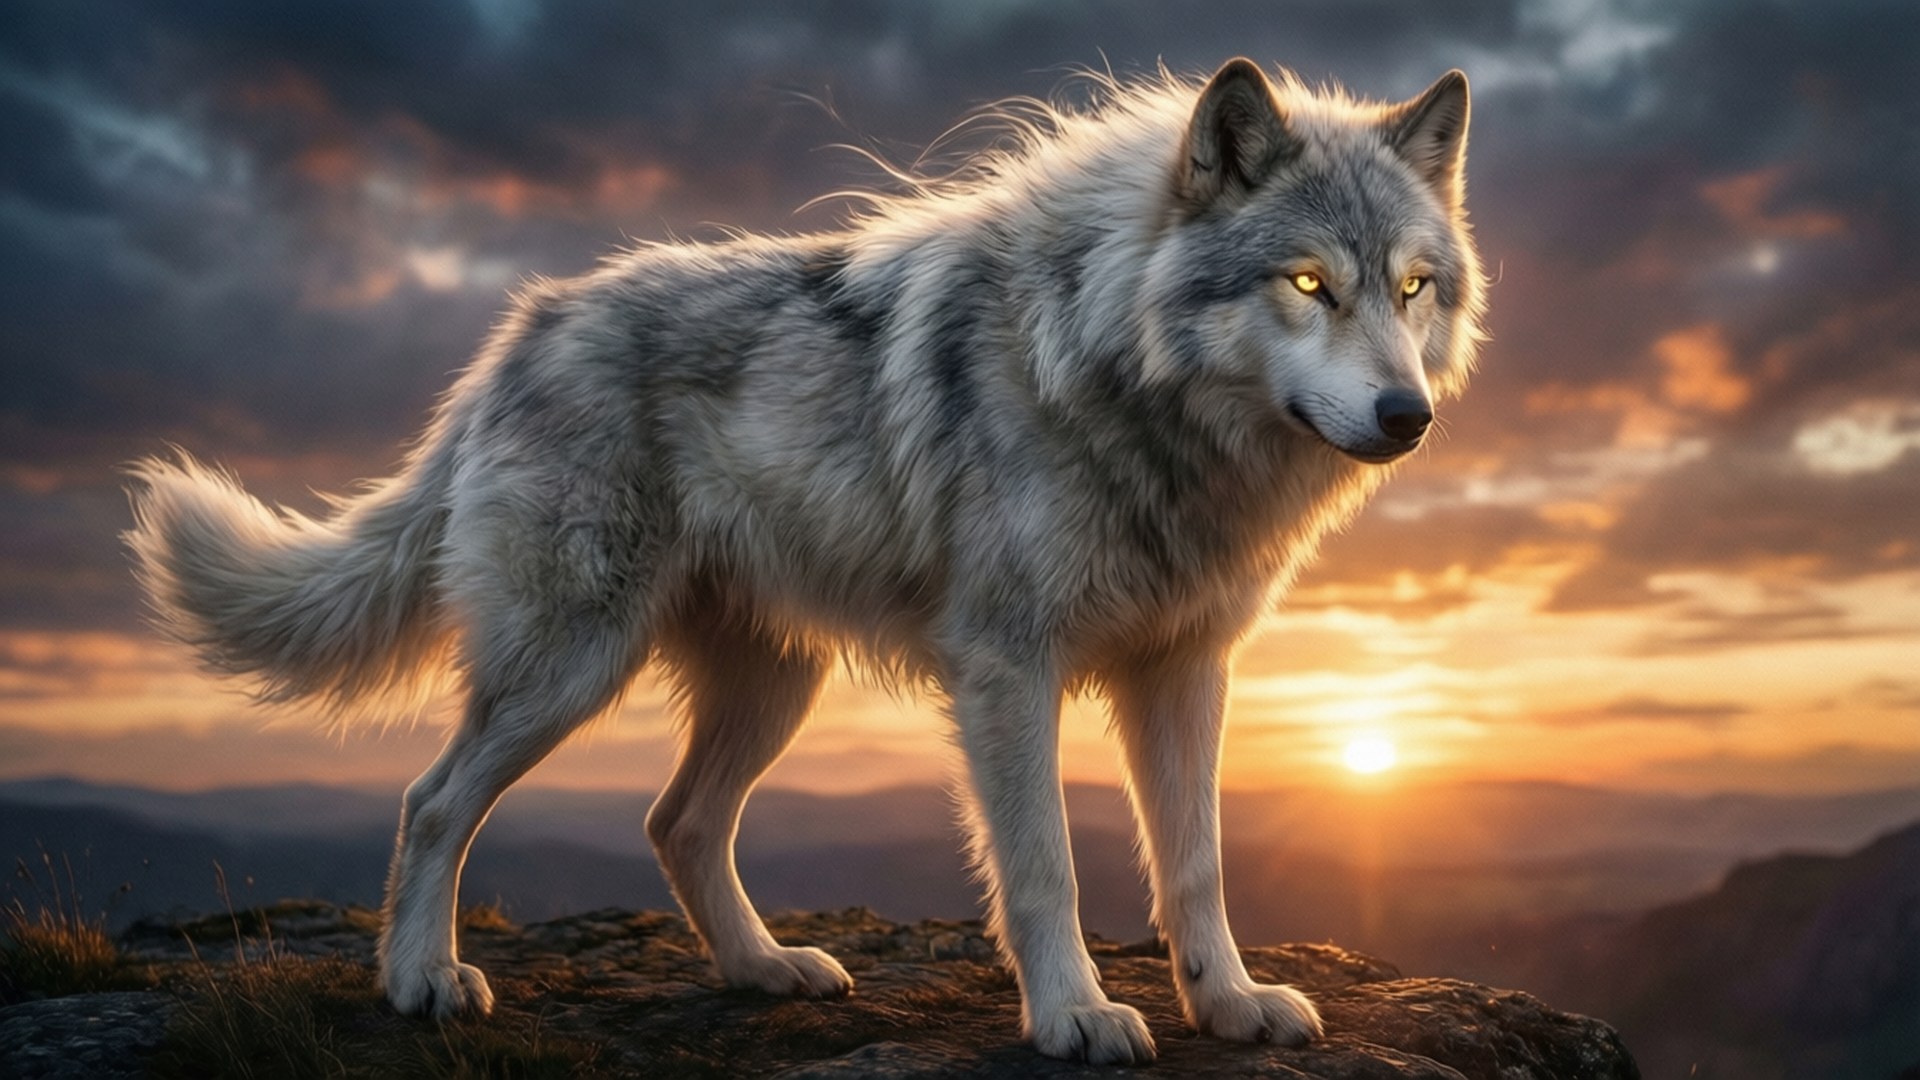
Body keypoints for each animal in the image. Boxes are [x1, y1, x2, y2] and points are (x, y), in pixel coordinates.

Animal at [125, 58, 1484, 1063]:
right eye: (1308, 282)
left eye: (1413, 288)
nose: (1408, 418)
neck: (1124, 381)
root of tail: (516, 336)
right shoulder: (1007, 671)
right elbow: (1043, 866)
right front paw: (1076, 1017)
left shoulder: (1186, 668)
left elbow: (1195, 863)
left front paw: (1230, 1005)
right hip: (572, 667)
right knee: (433, 801)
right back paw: (423, 982)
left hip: (775, 684)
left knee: (675, 822)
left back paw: (762, 969)